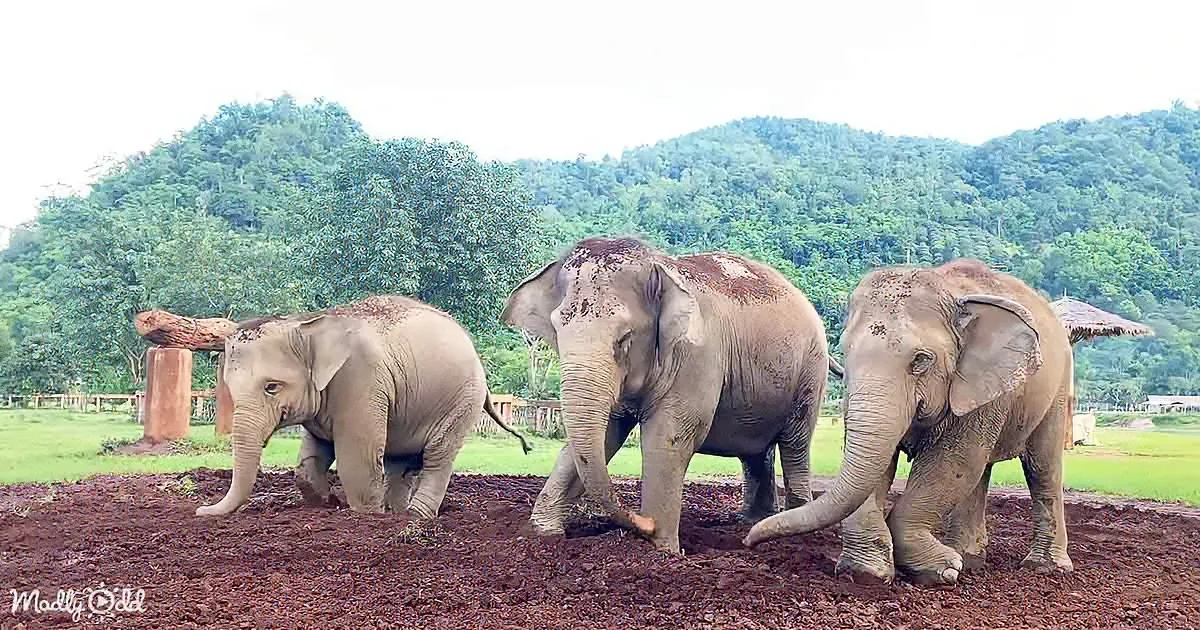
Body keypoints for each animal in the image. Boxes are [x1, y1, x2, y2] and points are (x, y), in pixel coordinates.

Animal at [195, 295, 530, 519]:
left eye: (271, 387)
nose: (200, 510)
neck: (308, 322)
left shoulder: (360, 380)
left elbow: (357, 458)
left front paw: (367, 515)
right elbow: (310, 459)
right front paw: (328, 502)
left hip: (461, 400)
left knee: (438, 456)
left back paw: (415, 517)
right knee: (400, 461)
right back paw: (397, 511)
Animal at [501, 236, 837, 553]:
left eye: (624, 337)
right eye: (557, 331)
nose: (643, 522)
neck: (661, 265)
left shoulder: (698, 356)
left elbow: (668, 437)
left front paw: (661, 549)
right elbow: (606, 434)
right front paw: (543, 533)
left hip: (810, 371)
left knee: (795, 444)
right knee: (756, 452)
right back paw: (753, 520)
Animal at [744, 259, 1074, 586]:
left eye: (921, 360)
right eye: (845, 353)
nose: (748, 542)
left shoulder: (982, 390)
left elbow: (952, 462)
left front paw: (944, 570)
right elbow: (881, 461)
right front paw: (866, 572)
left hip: (1058, 387)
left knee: (1042, 467)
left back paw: (1044, 567)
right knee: (981, 474)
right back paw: (970, 558)